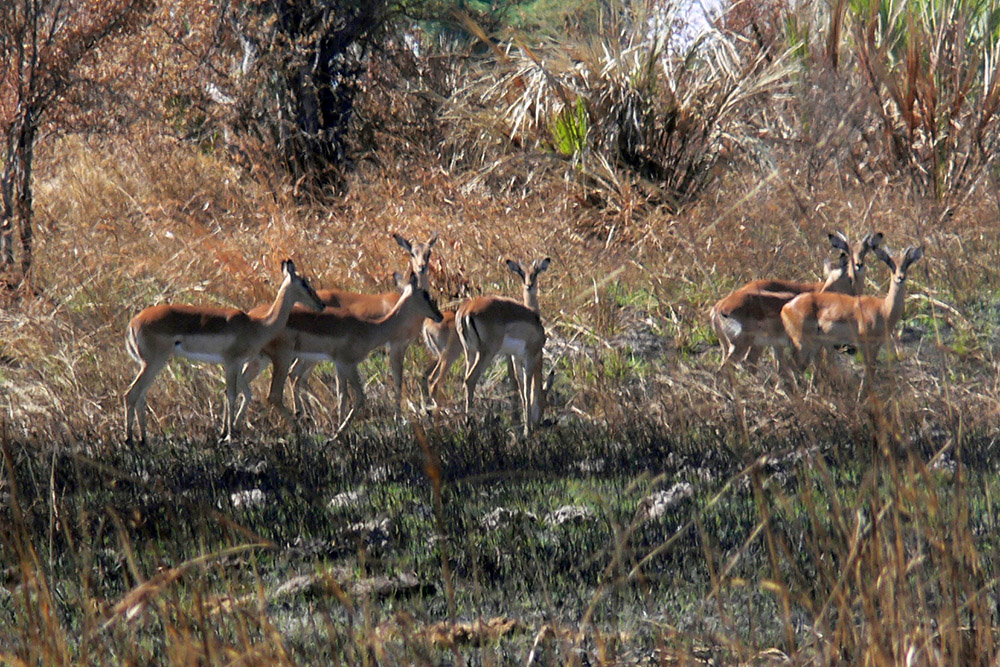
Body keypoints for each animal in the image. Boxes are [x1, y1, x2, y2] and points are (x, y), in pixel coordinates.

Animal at [124, 259, 325, 446]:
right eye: (304, 283)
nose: (321, 304)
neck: (257, 326)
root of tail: (133, 323)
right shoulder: (232, 362)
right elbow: (232, 394)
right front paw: (228, 435)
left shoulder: (237, 364)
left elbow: (239, 393)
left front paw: (228, 432)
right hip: (153, 363)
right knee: (131, 394)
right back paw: (129, 440)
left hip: (152, 364)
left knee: (141, 395)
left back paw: (143, 439)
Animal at [258, 271, 444, 428]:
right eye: (425, 294)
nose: (439, 315)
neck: (370, 327)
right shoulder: (349, 363)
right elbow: (362, 395)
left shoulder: (341, 365)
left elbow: (342, 396)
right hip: (285, 359)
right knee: (280, 389)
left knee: (292, 379)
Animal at [423, 257, 551, 403]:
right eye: (522, 274)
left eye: (535, 273)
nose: (529, 285)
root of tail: (466, 312)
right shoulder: (525, 356)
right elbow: (525, 388)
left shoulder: (513, 356)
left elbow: (518, 382)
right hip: (475, 354)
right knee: (463, 380)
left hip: (468, 352)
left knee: (437, 379)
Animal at [710, 232, 882, 371]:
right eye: (850, 251)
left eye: (865, 250)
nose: (858, 265)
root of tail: (718, 308)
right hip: (744, 344)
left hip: (742, 345)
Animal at [780, 244, 923, 394]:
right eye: (890, 263)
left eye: (907, 263)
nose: (900, 278)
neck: (883, 309)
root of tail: (786, 306)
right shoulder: (865, 345)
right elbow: (868, 371)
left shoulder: (877, 345)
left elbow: (871, 370)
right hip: (802, 343)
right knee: (791, 365)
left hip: (813, 345)